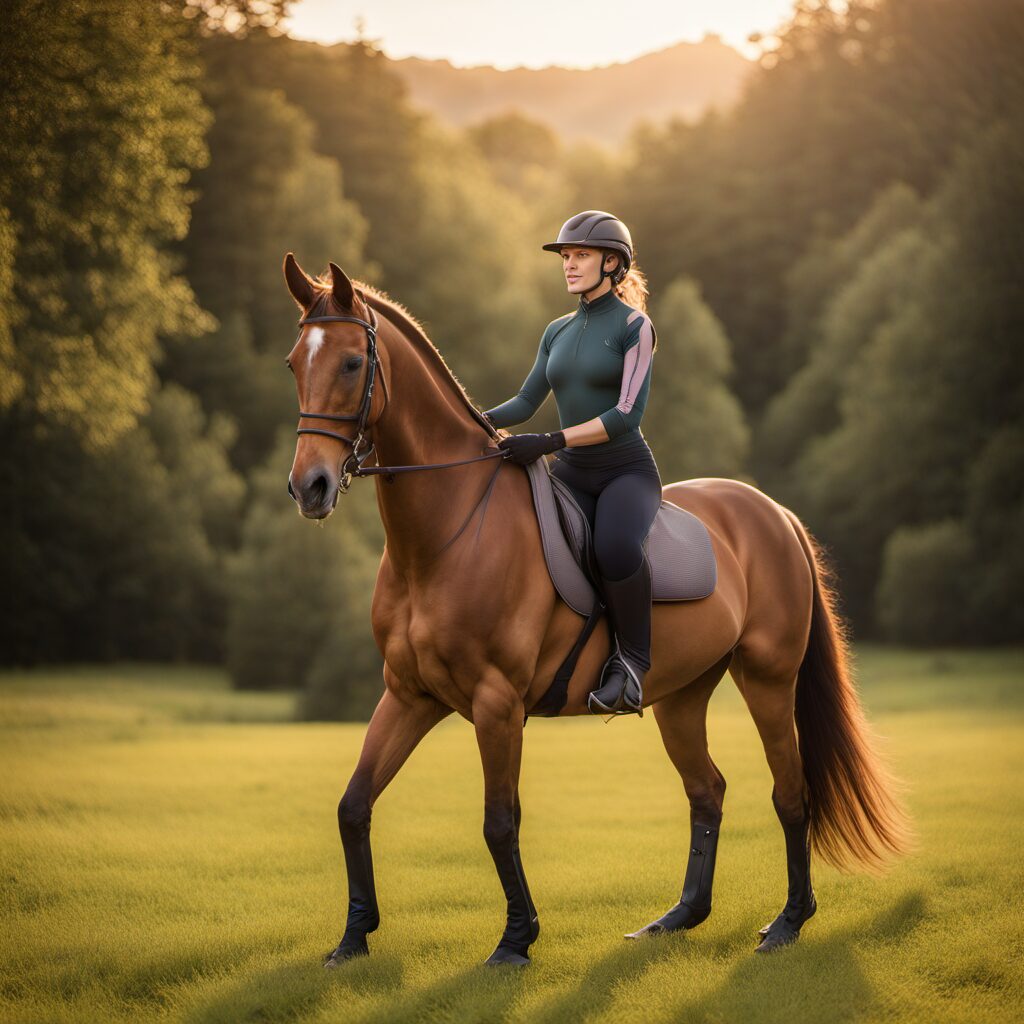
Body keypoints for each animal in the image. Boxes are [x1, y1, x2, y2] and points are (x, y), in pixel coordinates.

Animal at [281, 253, 911, 968]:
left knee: (790, 791)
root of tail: (774, 512)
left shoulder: (497, 704)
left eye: (352, 363)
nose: (310, 487)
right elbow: (353, 805)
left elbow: (499, 823)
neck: (446, 535)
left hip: (769, 681)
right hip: (682, 697)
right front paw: (353, 937)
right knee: (708, 790)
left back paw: (788, 923)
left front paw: (516, 941)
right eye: (294, 364)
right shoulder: (409, 694)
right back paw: (679, 918)